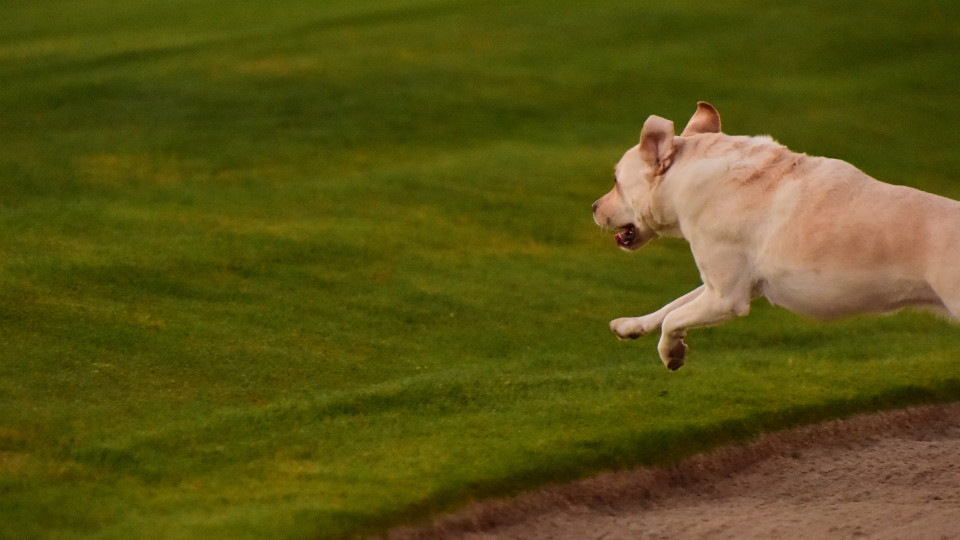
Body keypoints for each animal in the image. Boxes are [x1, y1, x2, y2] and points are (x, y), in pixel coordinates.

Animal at [592, 102, 960, 372]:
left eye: (615, 181)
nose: (593, 207)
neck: (690, 173)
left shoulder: (726, 298)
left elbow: (672, 318)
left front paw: (671, 352)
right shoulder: (728, 285)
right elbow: (672, 305)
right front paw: (632, 326)